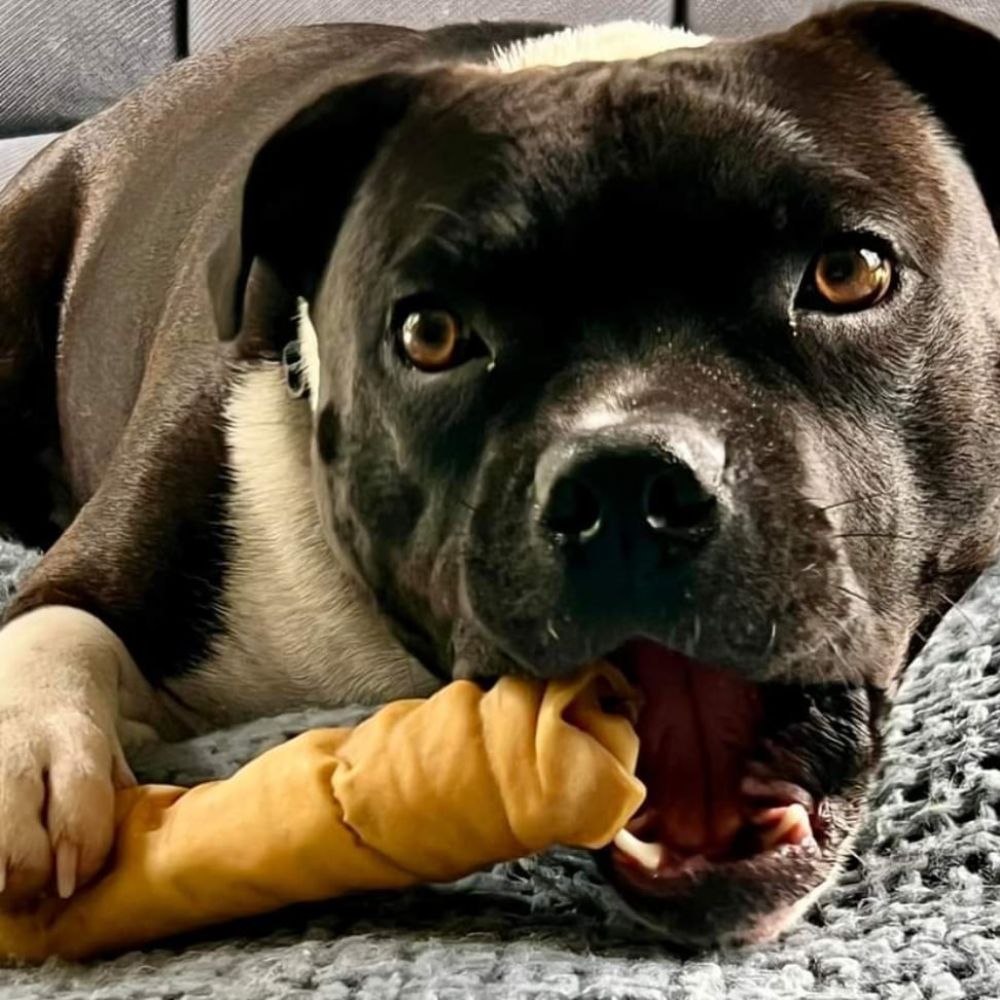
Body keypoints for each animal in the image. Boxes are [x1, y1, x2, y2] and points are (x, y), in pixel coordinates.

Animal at [1, 3, 1000, 948]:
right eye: (431, 334)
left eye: (850, 273)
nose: (627, 484)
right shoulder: (107, 566)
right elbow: (55, 622)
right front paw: (30, 760)